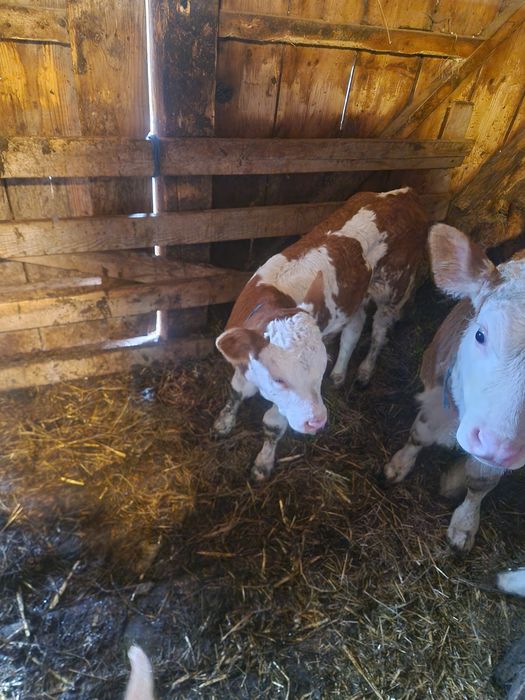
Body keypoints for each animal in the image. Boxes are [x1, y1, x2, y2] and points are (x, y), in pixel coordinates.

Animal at [214, 187, 429, 481]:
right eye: (279, 379)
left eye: (318, 371)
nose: (317, 421)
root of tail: (406, 194)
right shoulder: (242, 362)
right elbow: (236, 392)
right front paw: (223, 422)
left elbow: (273, 425)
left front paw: (263, 464)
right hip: (356, 296)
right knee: (354, 328)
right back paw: (340, 373)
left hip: (394, 288)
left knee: (378, 332)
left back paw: (364, 371)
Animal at [384, 222, 525, 552]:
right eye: (480, 335)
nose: (498, 447)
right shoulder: (436, 393)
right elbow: (419, 435)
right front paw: (398, 465)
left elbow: (481, 481)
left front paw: (464, 524)